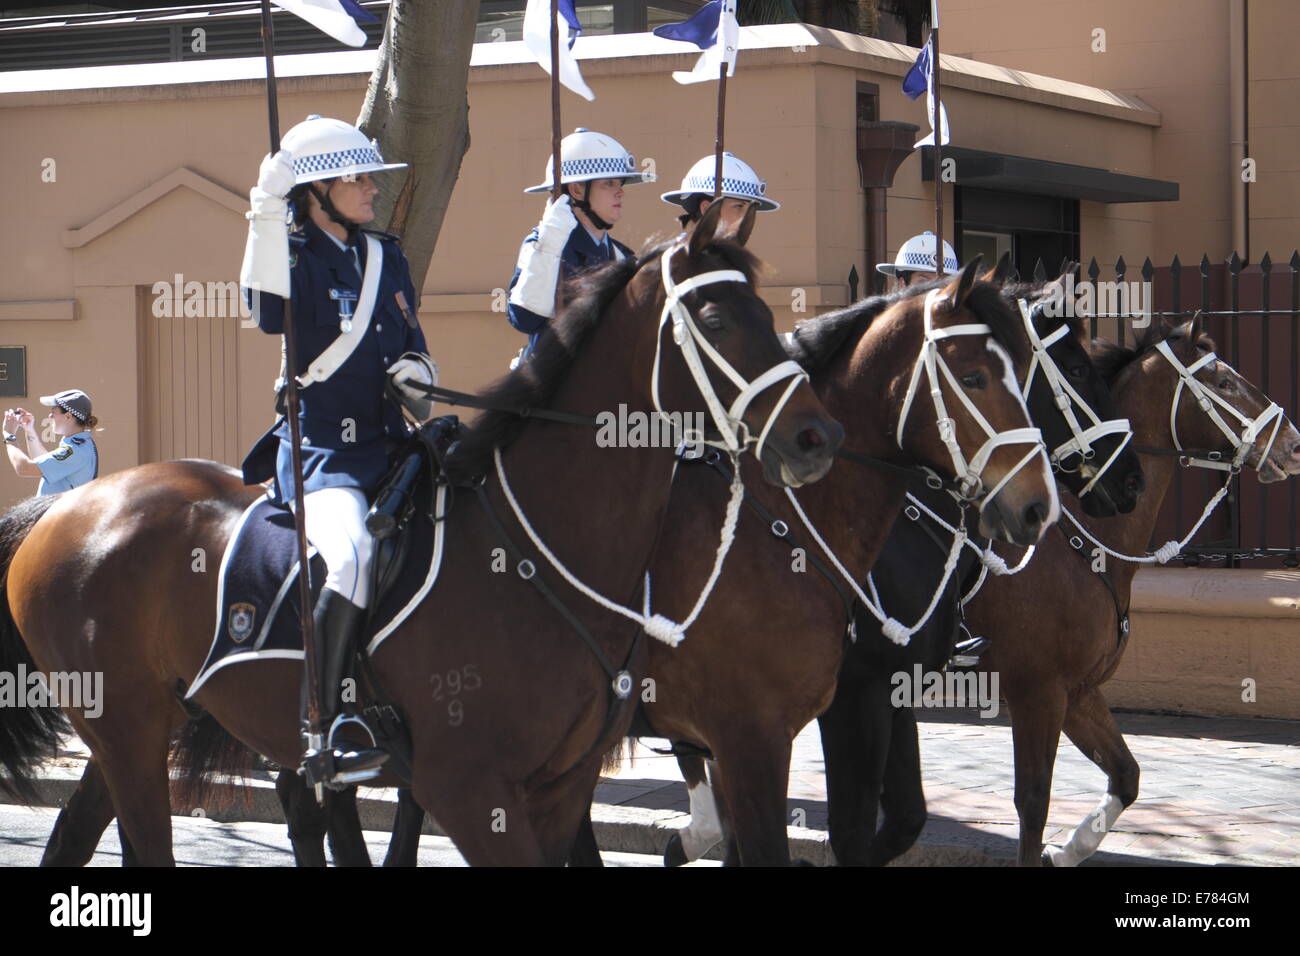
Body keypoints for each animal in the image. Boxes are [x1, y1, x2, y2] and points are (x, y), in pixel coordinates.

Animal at [0, 208, 842, 868]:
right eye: (717, 320)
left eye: (766, 313)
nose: (814, 437)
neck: (541, 551)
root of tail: (70, 507)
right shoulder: (470, 788)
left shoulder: (561, 787)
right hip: (128, 730)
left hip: (141, 730)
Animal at [967, 314, 1300, 868]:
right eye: (1224, 381)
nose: (1292, 443)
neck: (1081, 541)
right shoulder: (1036, 689)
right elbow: (1033, 803)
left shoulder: (1078, 691)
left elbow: (1126, 775)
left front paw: (1066, 851)